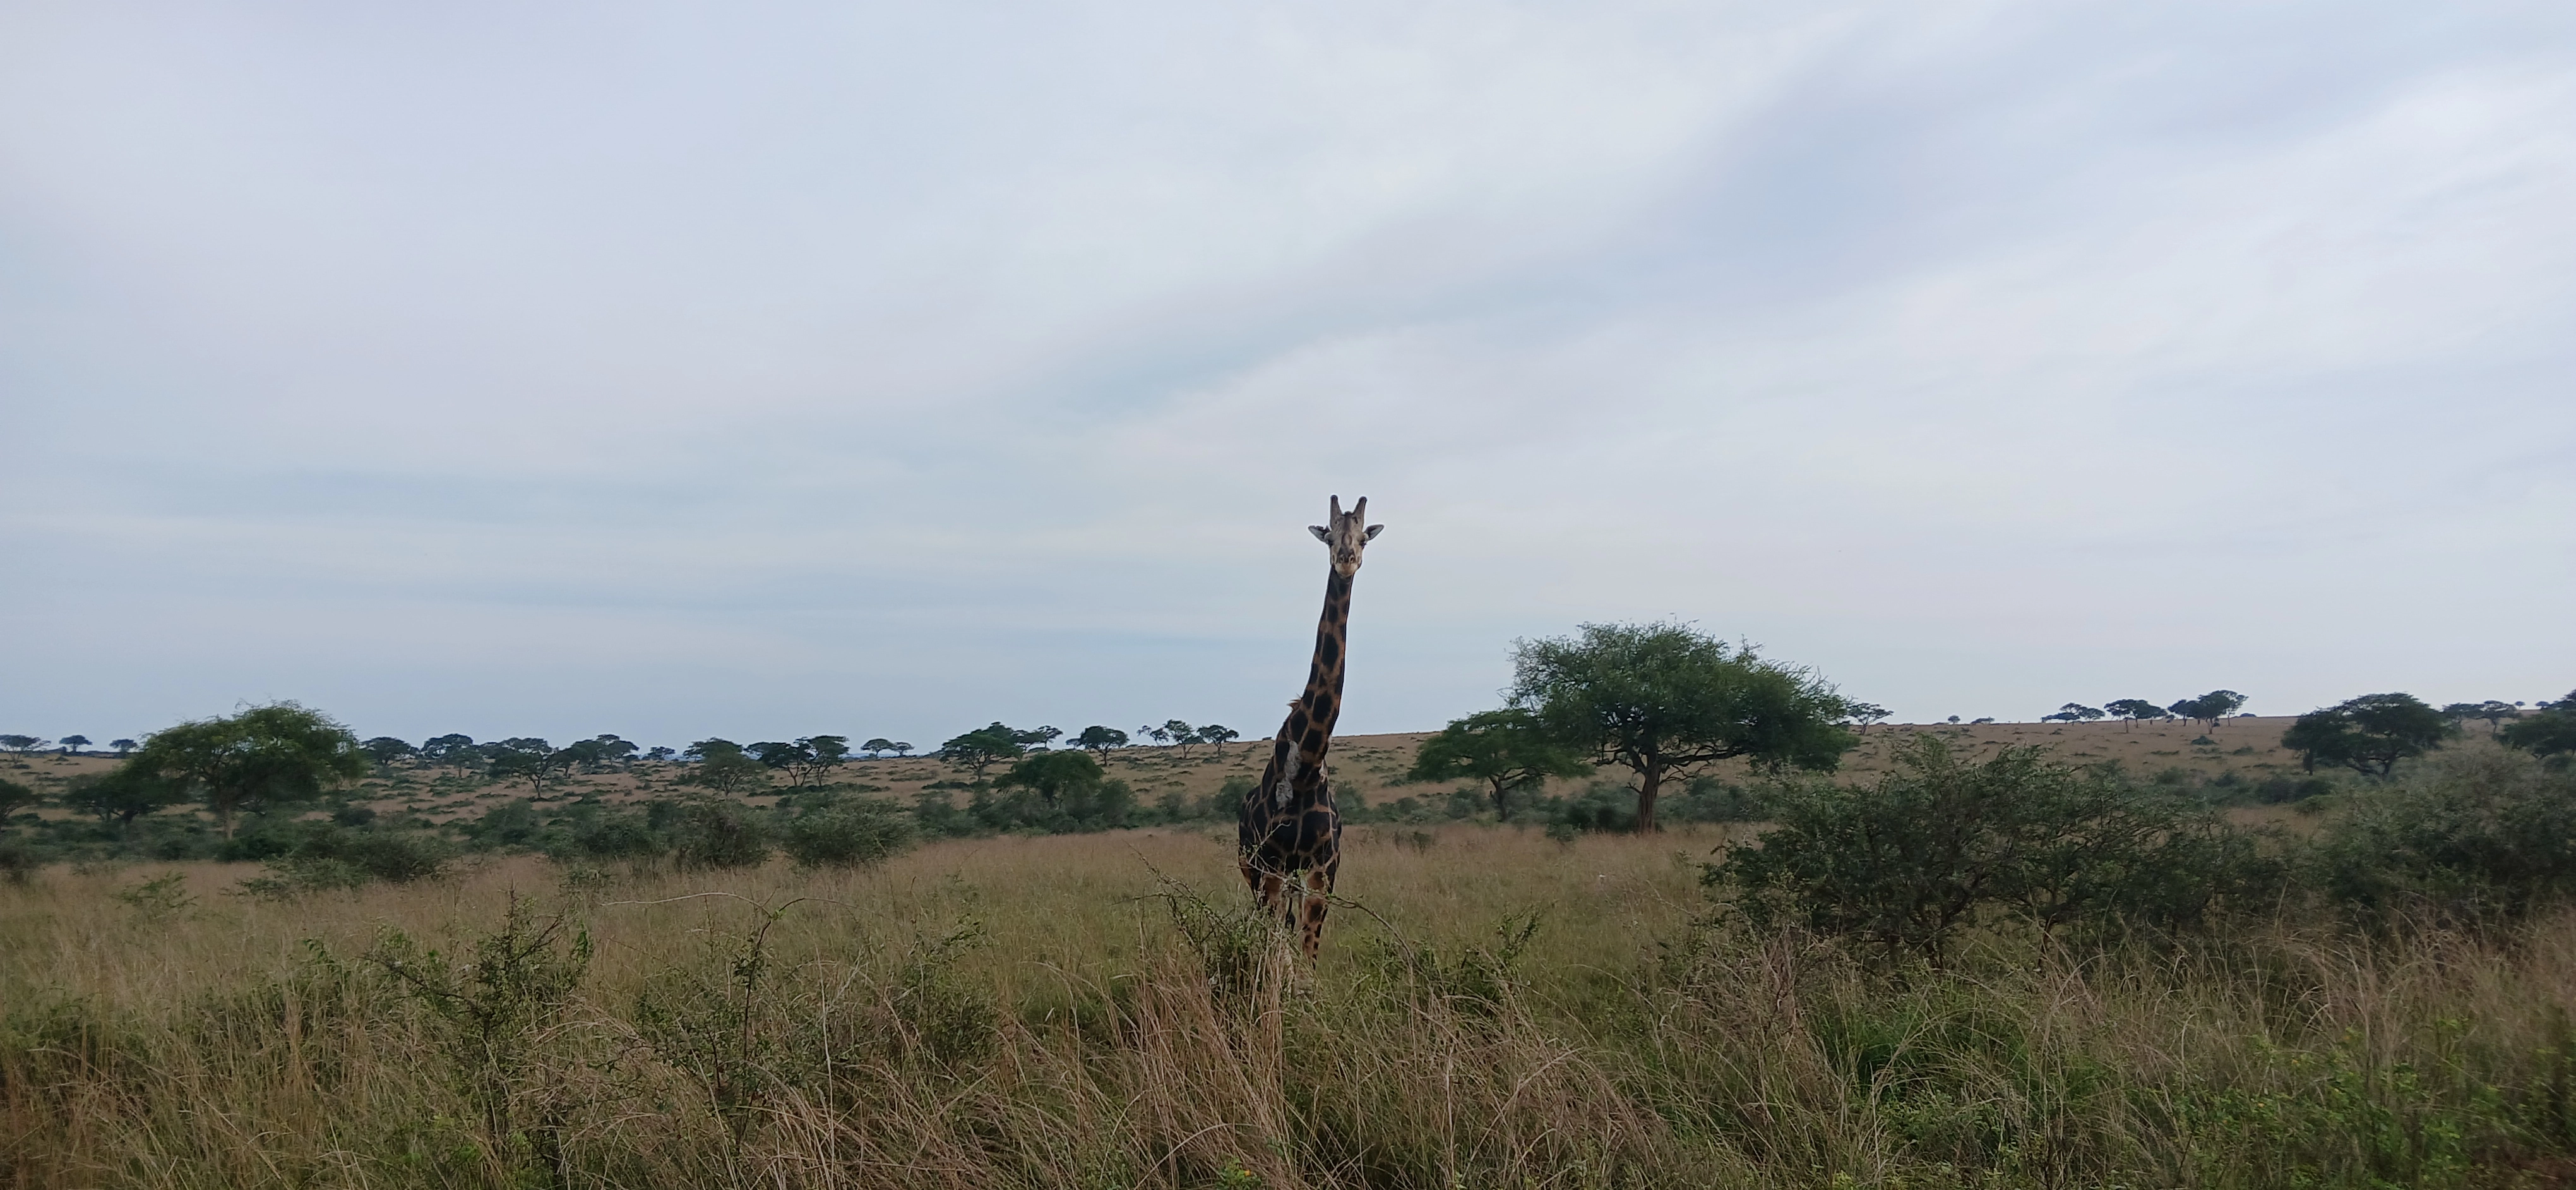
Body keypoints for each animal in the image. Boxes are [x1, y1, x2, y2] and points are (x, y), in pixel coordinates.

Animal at [1239, 494, 1382, 960]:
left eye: (1362, 538)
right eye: (1330, 537)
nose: (1346, 560)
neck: (1305, 762)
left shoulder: (1323, 868)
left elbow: (1307, 958)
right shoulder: (1271, 865)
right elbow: (1279, 955)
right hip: (1253, 867)